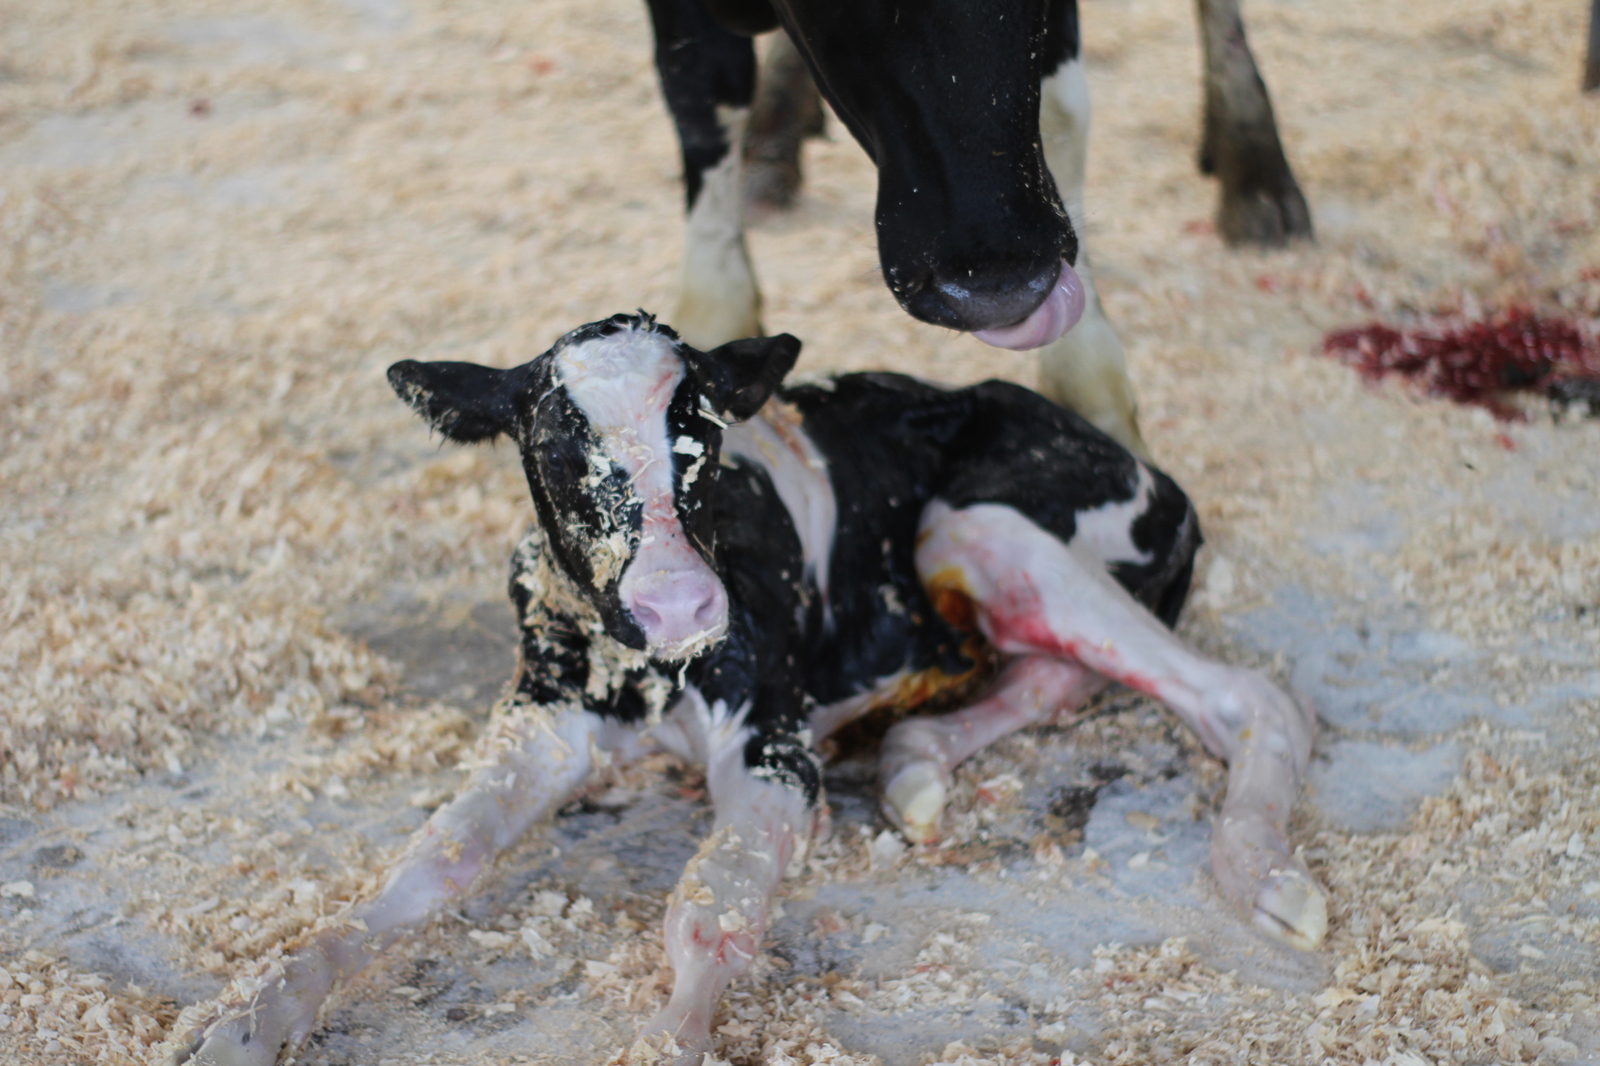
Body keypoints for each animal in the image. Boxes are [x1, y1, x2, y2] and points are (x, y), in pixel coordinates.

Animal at [172, 312, 1324, 1062]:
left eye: (704, 440)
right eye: (557, 449)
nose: (682, 604)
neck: (641, 674)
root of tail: (1151, 468)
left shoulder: (774, 744)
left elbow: (710, 903)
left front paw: (667, 1038)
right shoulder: (539, 717)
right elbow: (430, 860)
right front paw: (255, 1011)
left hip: (984, 522)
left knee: (1244, 696)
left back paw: (1267, 876)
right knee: (1048, 671)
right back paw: (914, 767)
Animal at [649, 0, 1312, 451]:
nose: (997, 288)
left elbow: (1063, 111)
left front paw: (1090, 388)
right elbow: (703, 87)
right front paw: (712, 316)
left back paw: (1256, 170)